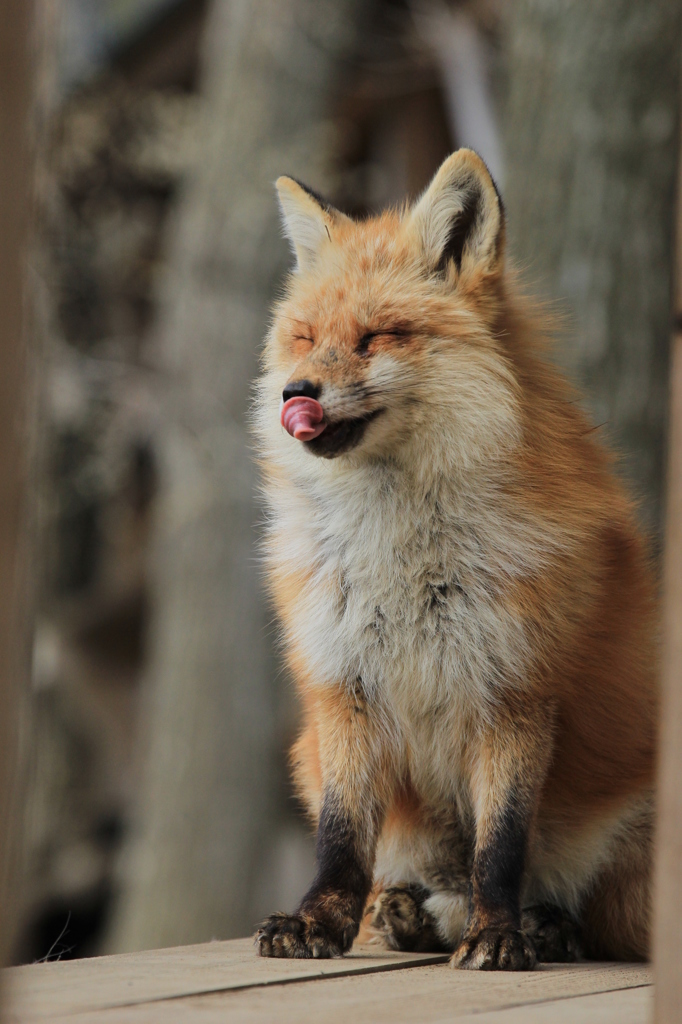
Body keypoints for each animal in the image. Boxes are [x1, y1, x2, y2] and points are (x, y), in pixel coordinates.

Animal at [251, 146, 655, 966]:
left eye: (378, 336)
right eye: (305, 337)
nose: (294, 393)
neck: (402, 554)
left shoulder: (516, 691)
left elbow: (499, 845)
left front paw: (497, 935)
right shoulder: (344, 686)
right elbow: (341, 838)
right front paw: (318, 922)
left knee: (589, 911)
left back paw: (542, 925)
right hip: (316, 758)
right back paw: (412, 913)